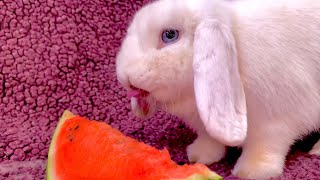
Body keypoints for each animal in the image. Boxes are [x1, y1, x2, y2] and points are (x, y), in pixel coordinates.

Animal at [116, 0, 320, 179]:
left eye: (170, 35)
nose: (125, 76)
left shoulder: (273, 124)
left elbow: (264, 146)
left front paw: (252, 171)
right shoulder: (207, 124)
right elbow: (209, 139)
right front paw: (199, 155)